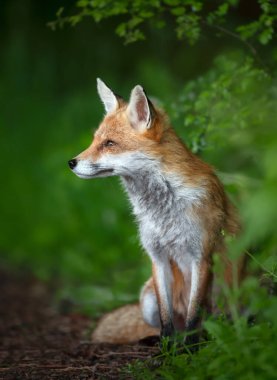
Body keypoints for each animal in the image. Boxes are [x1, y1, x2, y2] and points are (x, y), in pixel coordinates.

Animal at [68, 79, 244, 344]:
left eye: (109, 144)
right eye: (94, 140)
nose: (72, 163)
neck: (163, 210)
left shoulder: (201, 256)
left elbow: (193, 316)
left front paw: (189, 349)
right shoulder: (157, 256)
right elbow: (166, 318)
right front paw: (167, 348)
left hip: (225, 291)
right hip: (147, 298)